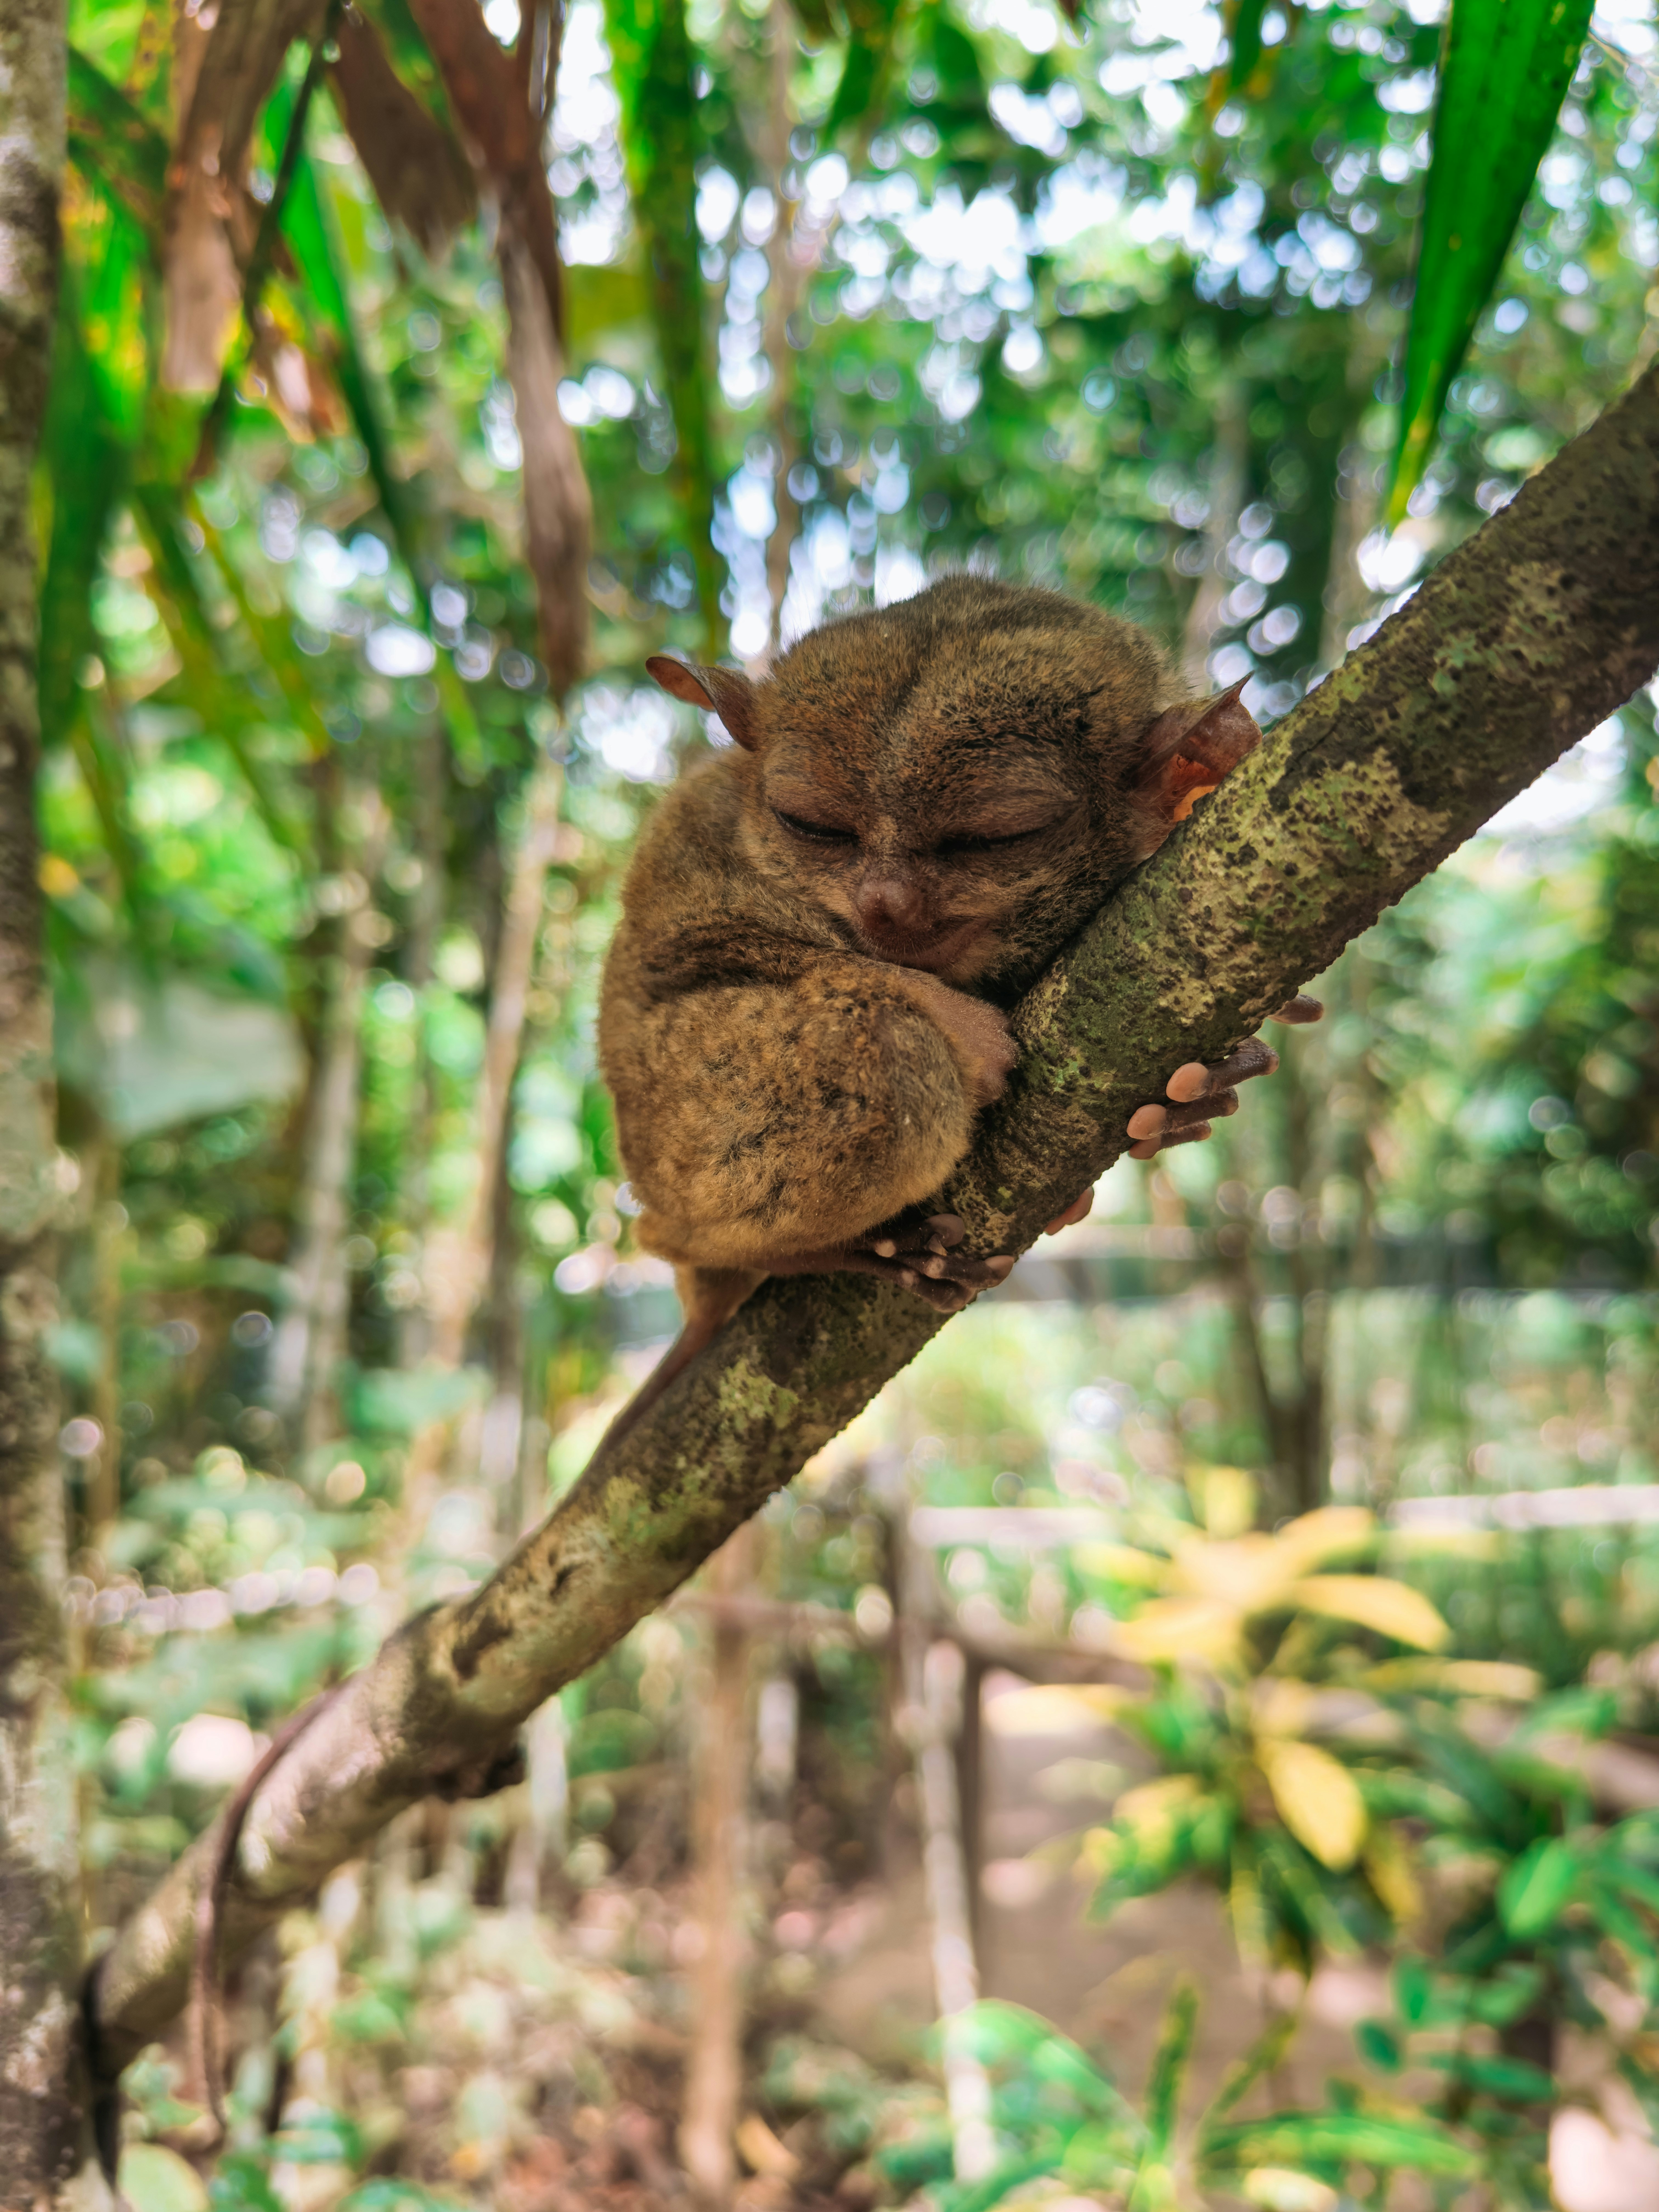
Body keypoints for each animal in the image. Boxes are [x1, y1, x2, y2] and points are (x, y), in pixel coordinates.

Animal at [597, 575, 1319, 1428]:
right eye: (811, 825)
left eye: (995, 837)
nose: (884, 903)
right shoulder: (696, 837)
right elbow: (684, 952)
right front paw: (972, 1034)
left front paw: (1196, 1095)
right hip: (671, 1141)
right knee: (890, 1060)